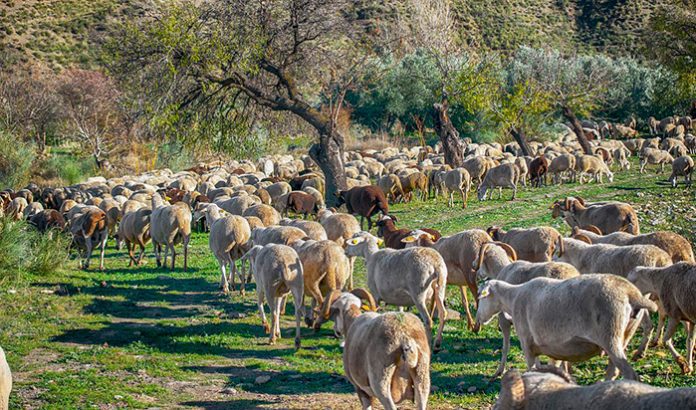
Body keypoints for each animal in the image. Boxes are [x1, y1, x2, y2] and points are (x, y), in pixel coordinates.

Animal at [476, 276, 656, 382]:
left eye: (481, 297)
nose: (478, 319)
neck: (513, 298)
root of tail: (631, 293)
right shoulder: (551, 347)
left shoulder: (526, 343)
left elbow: (532, 369)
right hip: (625, 334)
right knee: (613, 372)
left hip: (610, 336)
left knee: (629, 374)